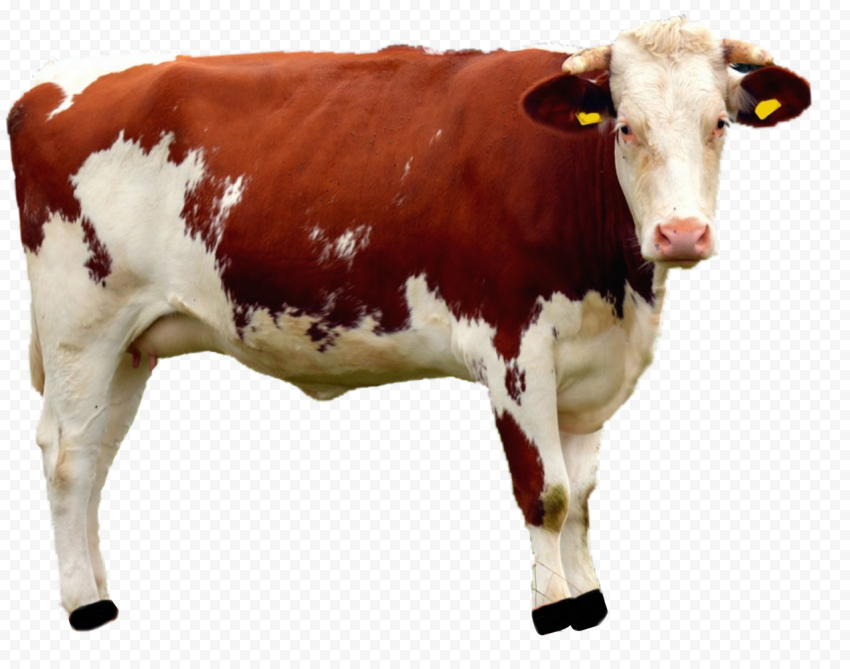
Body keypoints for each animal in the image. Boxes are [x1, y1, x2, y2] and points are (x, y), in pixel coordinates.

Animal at [7, 17, 809, 632]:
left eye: (719, 123)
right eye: (627, 126)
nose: (681, 233)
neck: (617, 290)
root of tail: (48, 85)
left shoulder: (592, 365)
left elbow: (581, 498)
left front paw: (588, 596)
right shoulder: (513, 348)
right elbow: (545, 492)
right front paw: (552, 607)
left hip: (130, 345)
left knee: (98, 459)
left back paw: (98, 586)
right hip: (82, 323)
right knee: (68, 457)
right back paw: (85, 607)